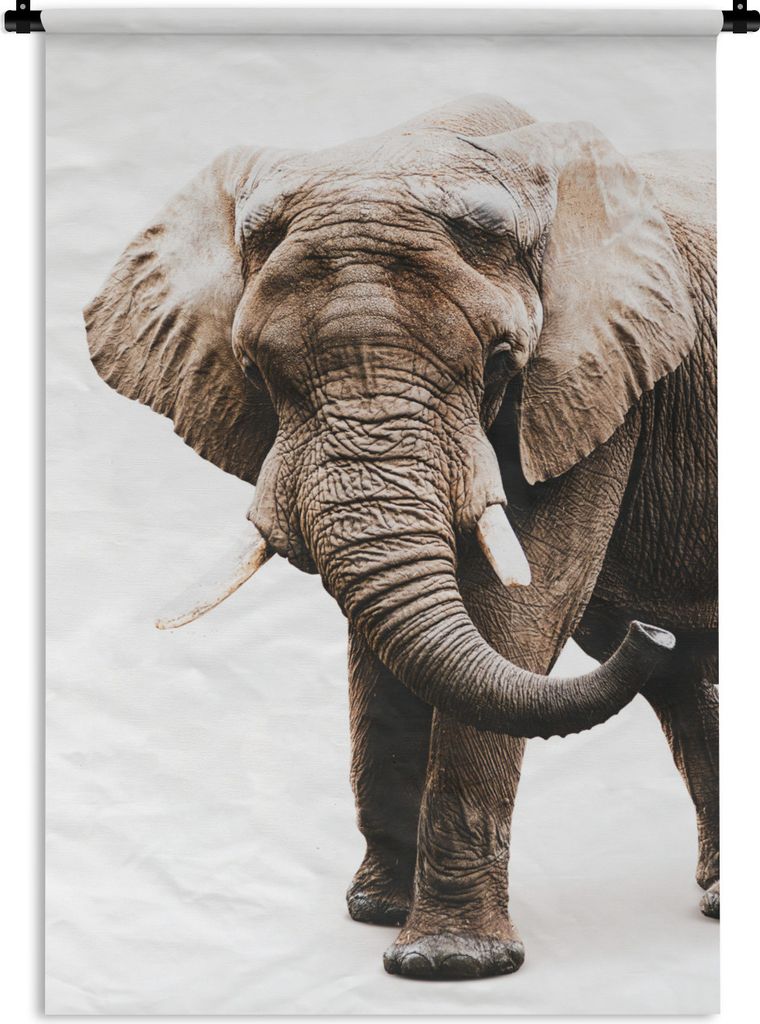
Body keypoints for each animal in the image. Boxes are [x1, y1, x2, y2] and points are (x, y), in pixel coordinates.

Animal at [84, 95, 718, 981]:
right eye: (256, 371)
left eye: (501, 361)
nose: (646, 632)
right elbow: (384, 646)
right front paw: (380, 916)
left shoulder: (597, 380)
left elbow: (521, 612)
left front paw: (448, 963)